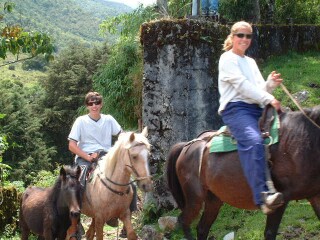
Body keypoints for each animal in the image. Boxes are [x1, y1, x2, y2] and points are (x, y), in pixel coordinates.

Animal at [166, 105, 320, 240]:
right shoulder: (280, 199)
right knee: (184, 221)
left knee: (202, 228)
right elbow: (270, 233)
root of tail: (187, 146)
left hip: (213, 200)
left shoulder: (315, 195)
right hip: (194, 198)